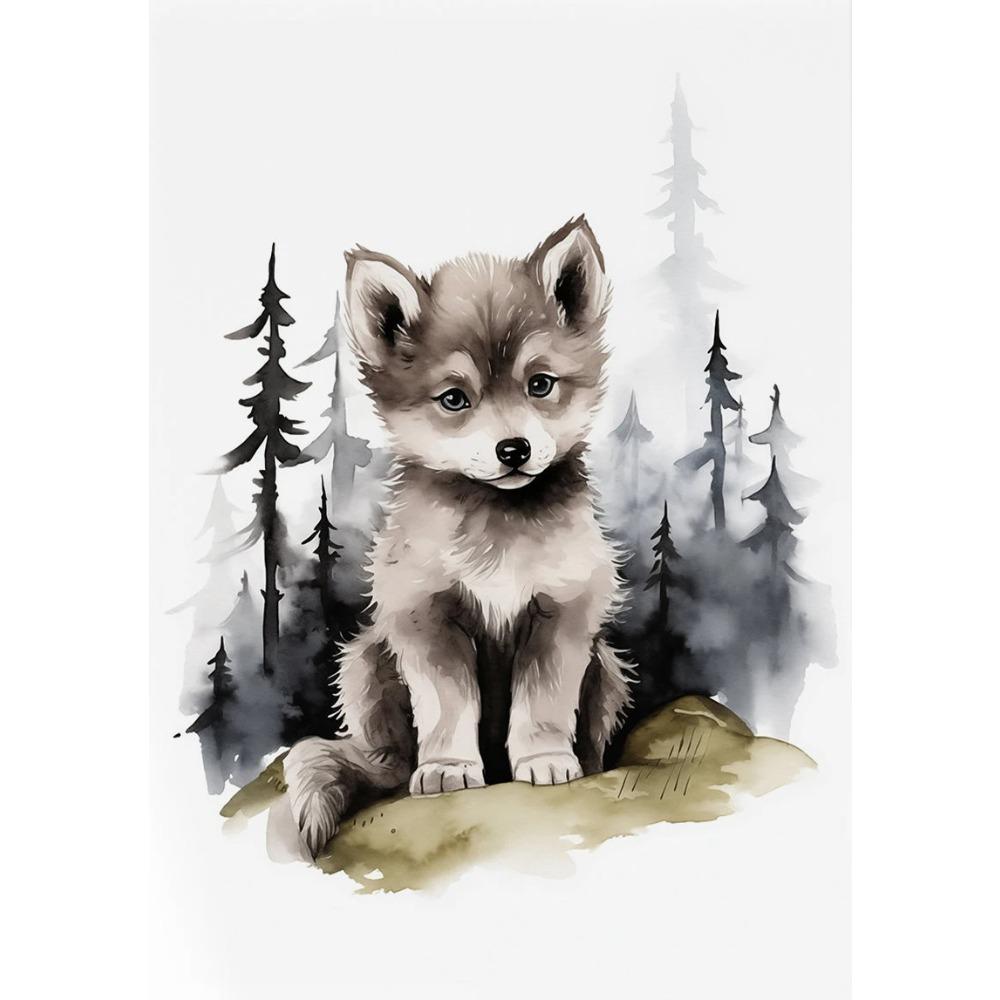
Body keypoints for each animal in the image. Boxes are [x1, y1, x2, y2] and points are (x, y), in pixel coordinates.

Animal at [283, 217, 635, 857]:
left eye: (540, 384)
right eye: (454, 399)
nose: (513, 449)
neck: (497, 526)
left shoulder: (561, 614)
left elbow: (544, 702)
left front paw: (546, 760)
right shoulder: (426, 616)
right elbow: (448, 707)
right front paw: (448, 770)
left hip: (607, 667)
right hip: (365, 662)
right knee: (384, 766)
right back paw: (394, 773)